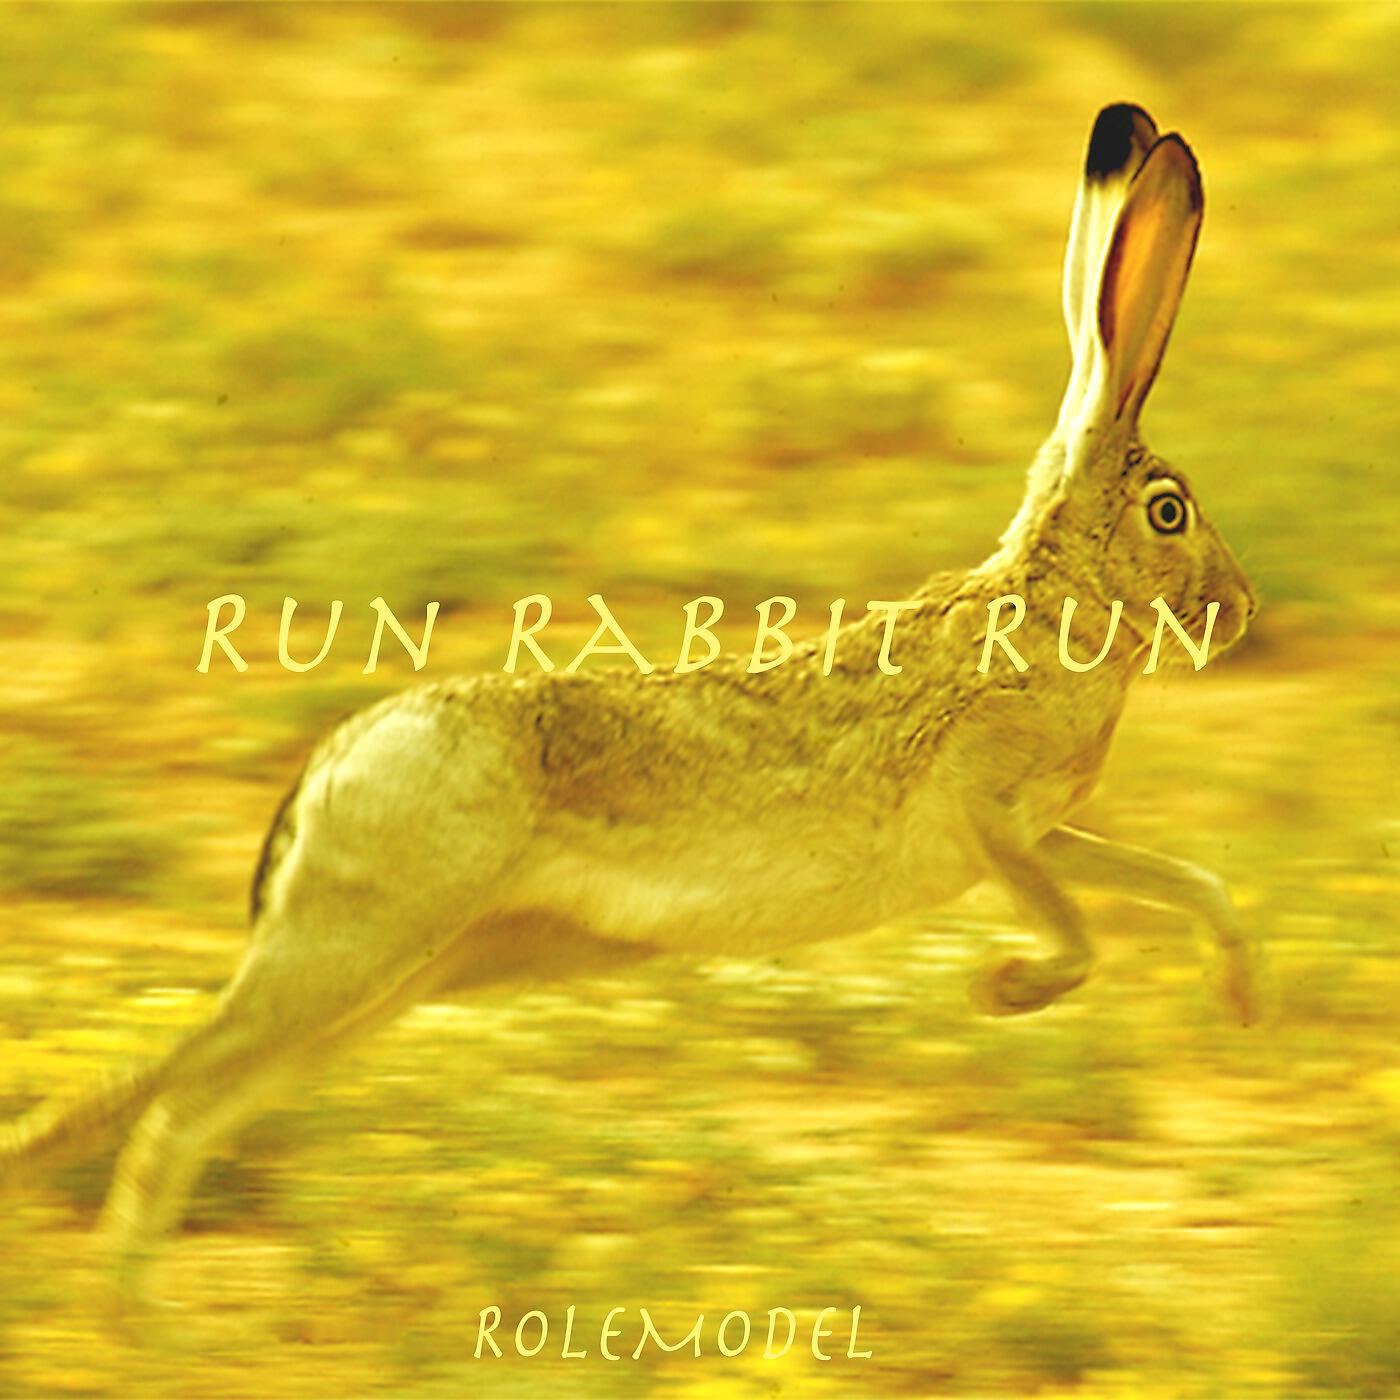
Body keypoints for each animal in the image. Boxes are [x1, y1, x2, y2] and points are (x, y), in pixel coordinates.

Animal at [1, 103, 1260, 1298]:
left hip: (409, 970)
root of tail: (332, 765)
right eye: (1166, 510)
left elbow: (1184, 881)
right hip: (354, 945)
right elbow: (1077, 932)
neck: (1056, 606)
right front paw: (1002, 989)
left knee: (194, 1109)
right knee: (161, 1094)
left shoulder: (1045, 829)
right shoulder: (986, 814)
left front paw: (1239, 1002)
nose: (1240, 611)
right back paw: (117, 1308)